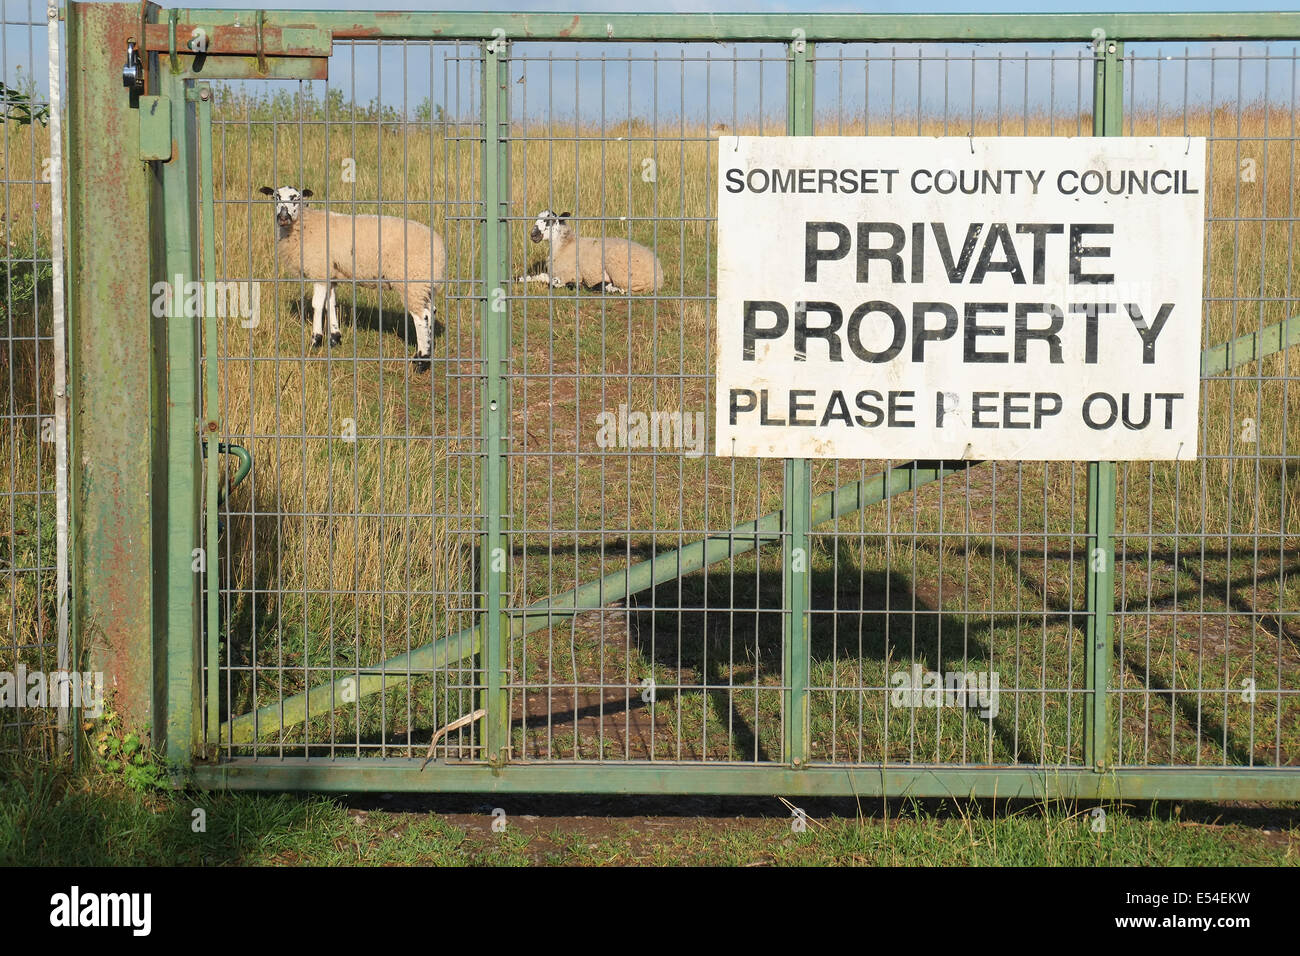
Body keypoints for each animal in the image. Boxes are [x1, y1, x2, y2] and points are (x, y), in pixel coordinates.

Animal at [258, 184, 452, 371]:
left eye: (296, 198)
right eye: (276, 197)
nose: (283, 217)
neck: (305, 225)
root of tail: (439, 249)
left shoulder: (319, 270)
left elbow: (317, 305)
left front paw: (315, 340)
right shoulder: (331, 273)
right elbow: (331, 303)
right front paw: (335, 338)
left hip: (412, 281)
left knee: (422, 316)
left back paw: (421, 361)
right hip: (424, 283)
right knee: (431, 310)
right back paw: (426, 351)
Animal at [514, 210, 665, 293]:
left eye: (548, 220)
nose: (533, 235)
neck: (564, 245)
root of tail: (659, 276)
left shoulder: (569, 275)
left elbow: (552, 282)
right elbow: (537, 277)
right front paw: (517, 278)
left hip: (623, 274)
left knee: (622, 289)